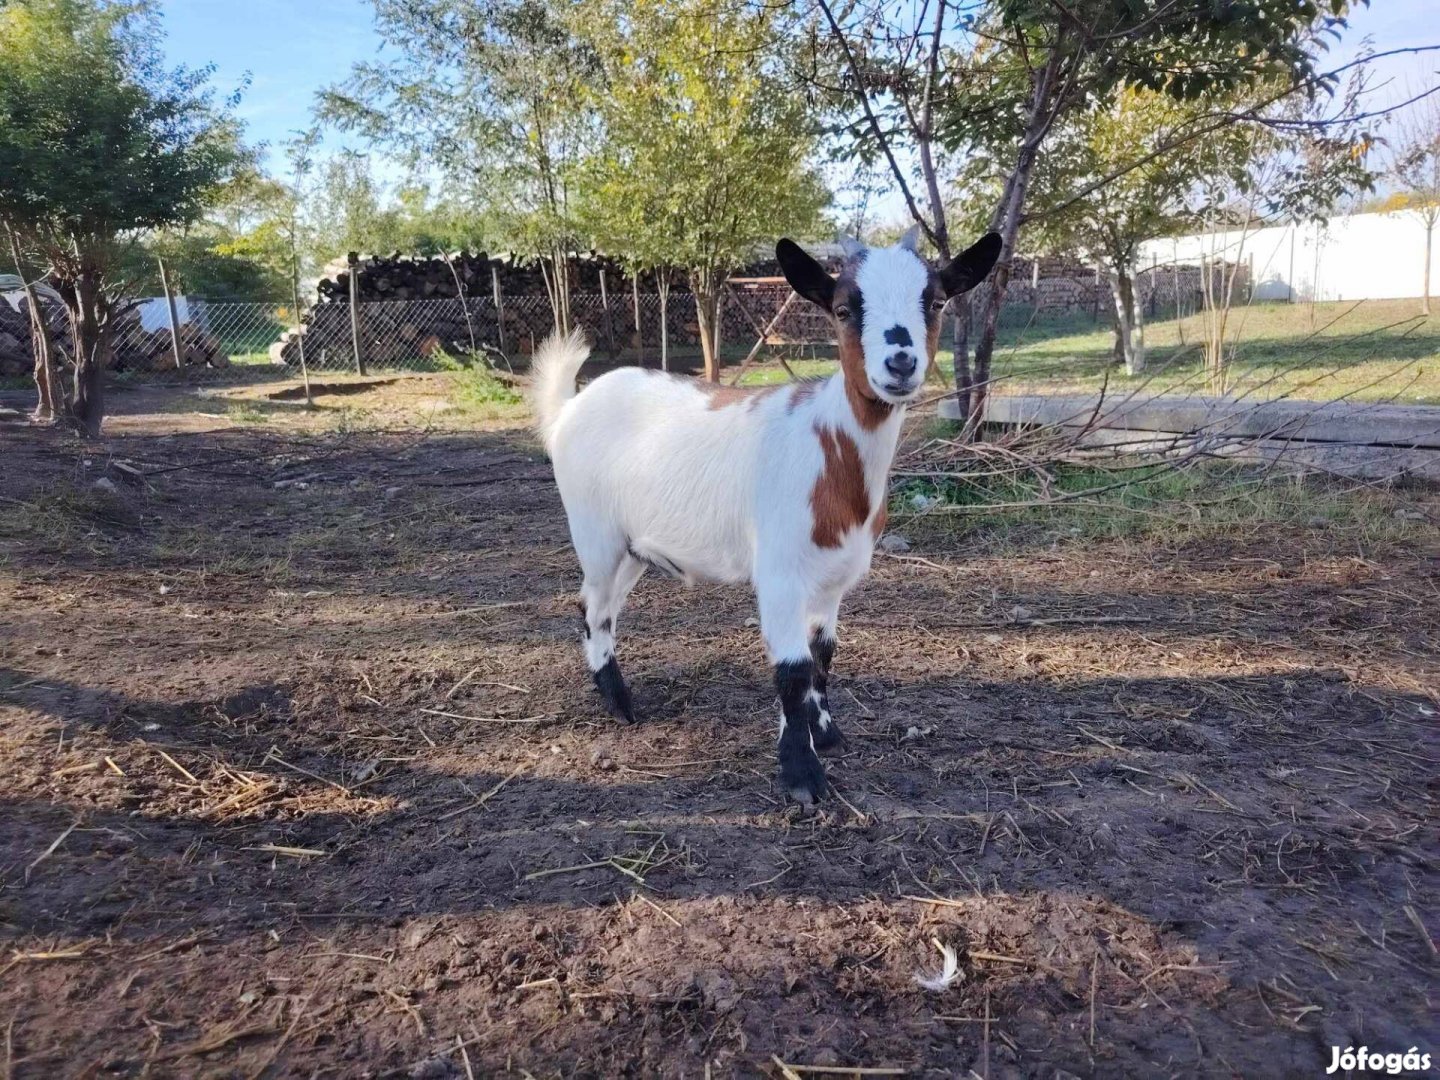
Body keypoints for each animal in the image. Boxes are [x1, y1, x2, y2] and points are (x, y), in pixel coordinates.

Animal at [532, 228, 1002, 806]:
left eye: (935, 302)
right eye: (843, 309)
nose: (900, 363)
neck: (832, 452)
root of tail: (568, 407)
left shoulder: (833, 578)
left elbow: (822, 656)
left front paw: (826, 734)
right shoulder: (779, 572)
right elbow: (792, 671)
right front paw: (802, 776)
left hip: (635, 546)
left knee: (606, 605)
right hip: (595, 532)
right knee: (592, 606)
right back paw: (620, 706)